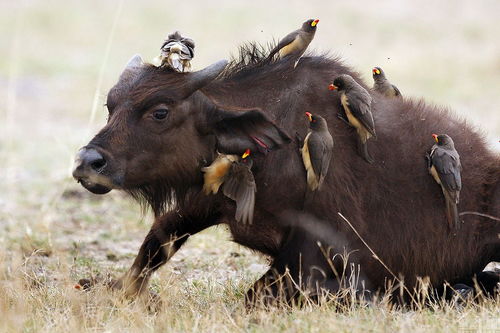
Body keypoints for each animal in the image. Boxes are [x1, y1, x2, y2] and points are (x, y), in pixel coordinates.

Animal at [72, 46, 498, 304]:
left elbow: (255, 295)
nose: (87, 162)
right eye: (111, 105)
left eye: (160, 112)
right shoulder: (206, 200)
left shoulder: (316, 248)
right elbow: (154, 246)